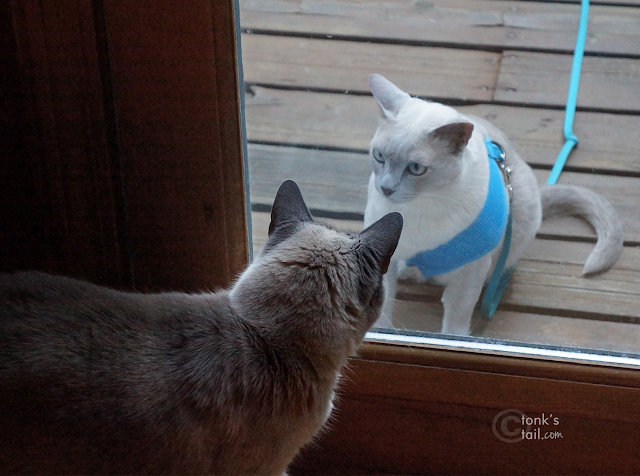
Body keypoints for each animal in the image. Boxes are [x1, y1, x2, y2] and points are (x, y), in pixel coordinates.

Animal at [364, 73, 624, 334]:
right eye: (379, 156)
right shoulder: (384, 260)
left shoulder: (471, 271)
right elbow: (381, 313)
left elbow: (456, 323)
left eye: (416, 168)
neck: (418, 212)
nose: (386, 188)